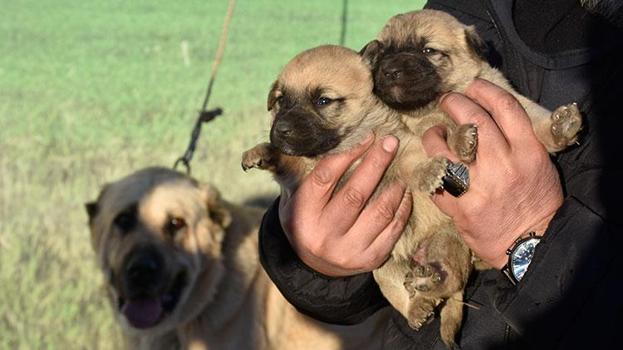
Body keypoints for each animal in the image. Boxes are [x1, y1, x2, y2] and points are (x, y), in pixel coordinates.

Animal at [243, 44, 472, 348]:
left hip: (444, 243)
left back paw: (432, 279)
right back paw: (418, 306)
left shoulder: (400, 146)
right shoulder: (299, 172)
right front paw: (260, 151)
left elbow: (411, 164)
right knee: (408, 293)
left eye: (323, 101)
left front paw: (428, 172)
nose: (281, 130)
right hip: (383, 270)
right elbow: (284, 158)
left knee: (452, 280)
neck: (344, 148)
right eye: (281, 100)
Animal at [360, 9, 584, 159]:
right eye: (381, 53)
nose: (389, 71)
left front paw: (559, 126)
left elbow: (534, 116)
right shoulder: (422, 128)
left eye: (428, 51)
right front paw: (460, 138)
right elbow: (443, 130)